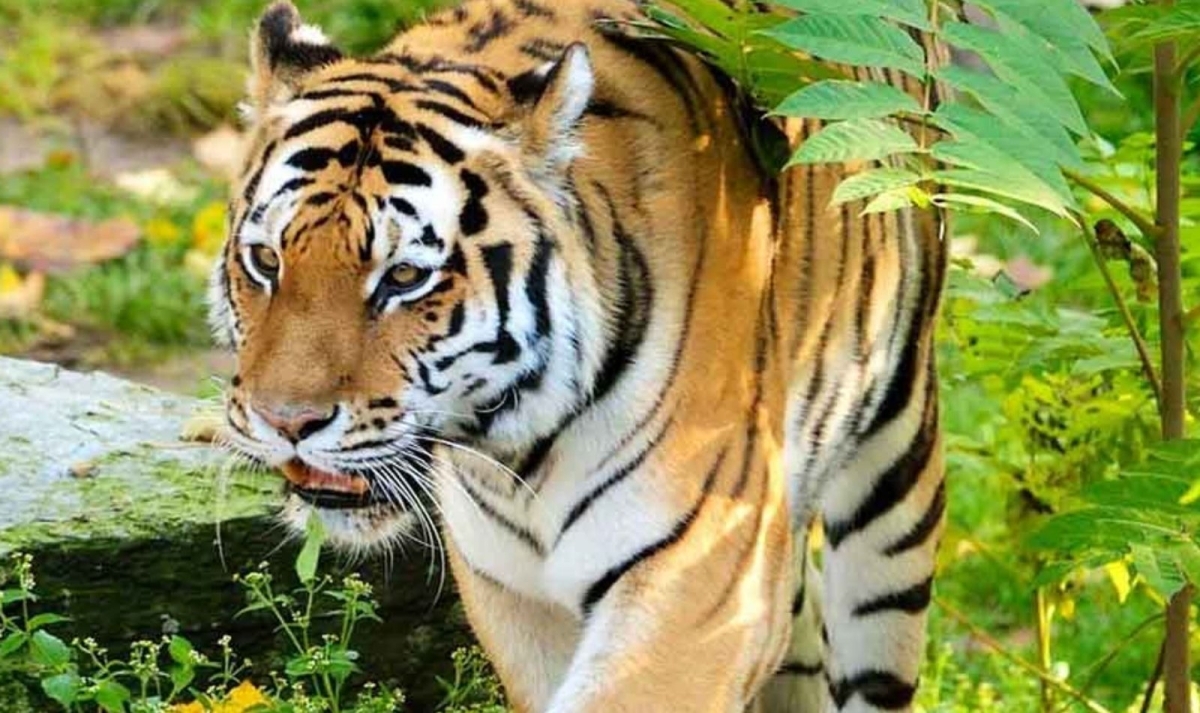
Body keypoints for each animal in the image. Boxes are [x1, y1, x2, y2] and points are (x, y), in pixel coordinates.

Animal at [208, 0, 947, 710]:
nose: (286, 423)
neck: (516, 453)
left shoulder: (698, 575)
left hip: (892, 486)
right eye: (266, 261)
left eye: (404, 277)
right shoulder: (514, 591)